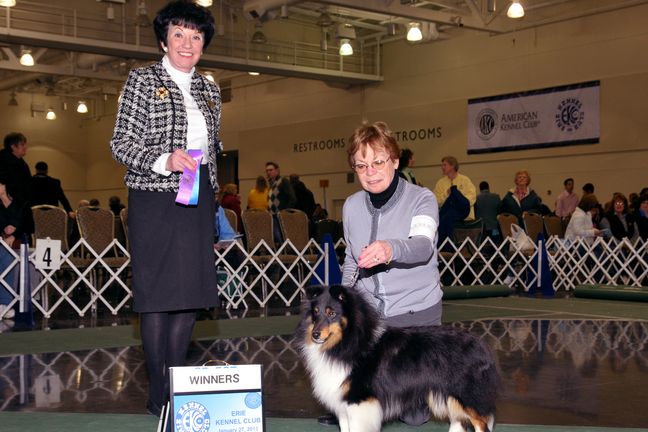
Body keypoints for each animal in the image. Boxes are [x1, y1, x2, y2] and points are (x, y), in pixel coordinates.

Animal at [296, 285, 499, 432]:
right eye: (315, 312)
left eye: (332, 313)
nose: (315, 335)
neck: (348, 341)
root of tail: (480, 344)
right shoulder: (344, 404)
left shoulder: (359, 401)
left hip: (467, 394)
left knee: (481, 424)